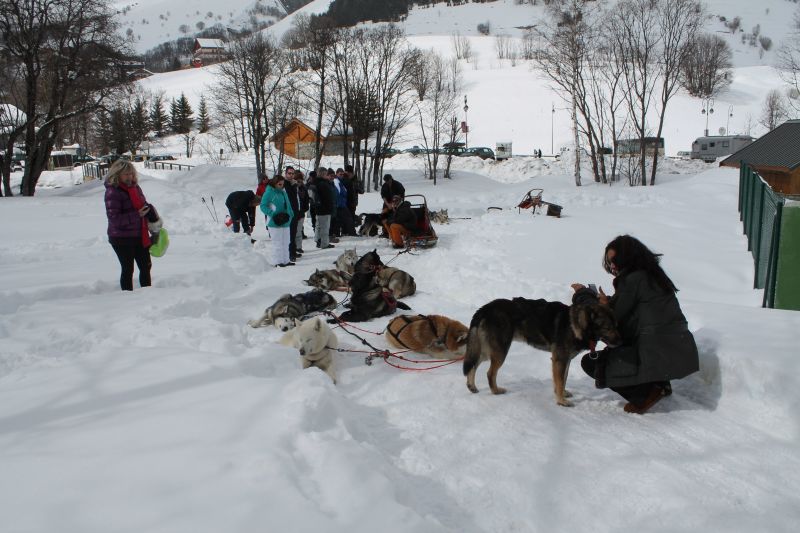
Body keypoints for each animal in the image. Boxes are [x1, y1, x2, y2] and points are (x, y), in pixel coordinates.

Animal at [462, 294, 620, 406]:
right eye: (607, 328)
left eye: (616, 325)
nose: (621, 341)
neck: (576, 325)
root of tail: (485, 309)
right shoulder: (560, 359)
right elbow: (560, 381)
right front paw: (561, 401)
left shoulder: (565, 360)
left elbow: (563, 380)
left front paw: (562, 394)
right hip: (500, 351)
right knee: (489, 373)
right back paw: (496, 391)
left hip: (485, 350)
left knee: (473, 365)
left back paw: (472, 387)